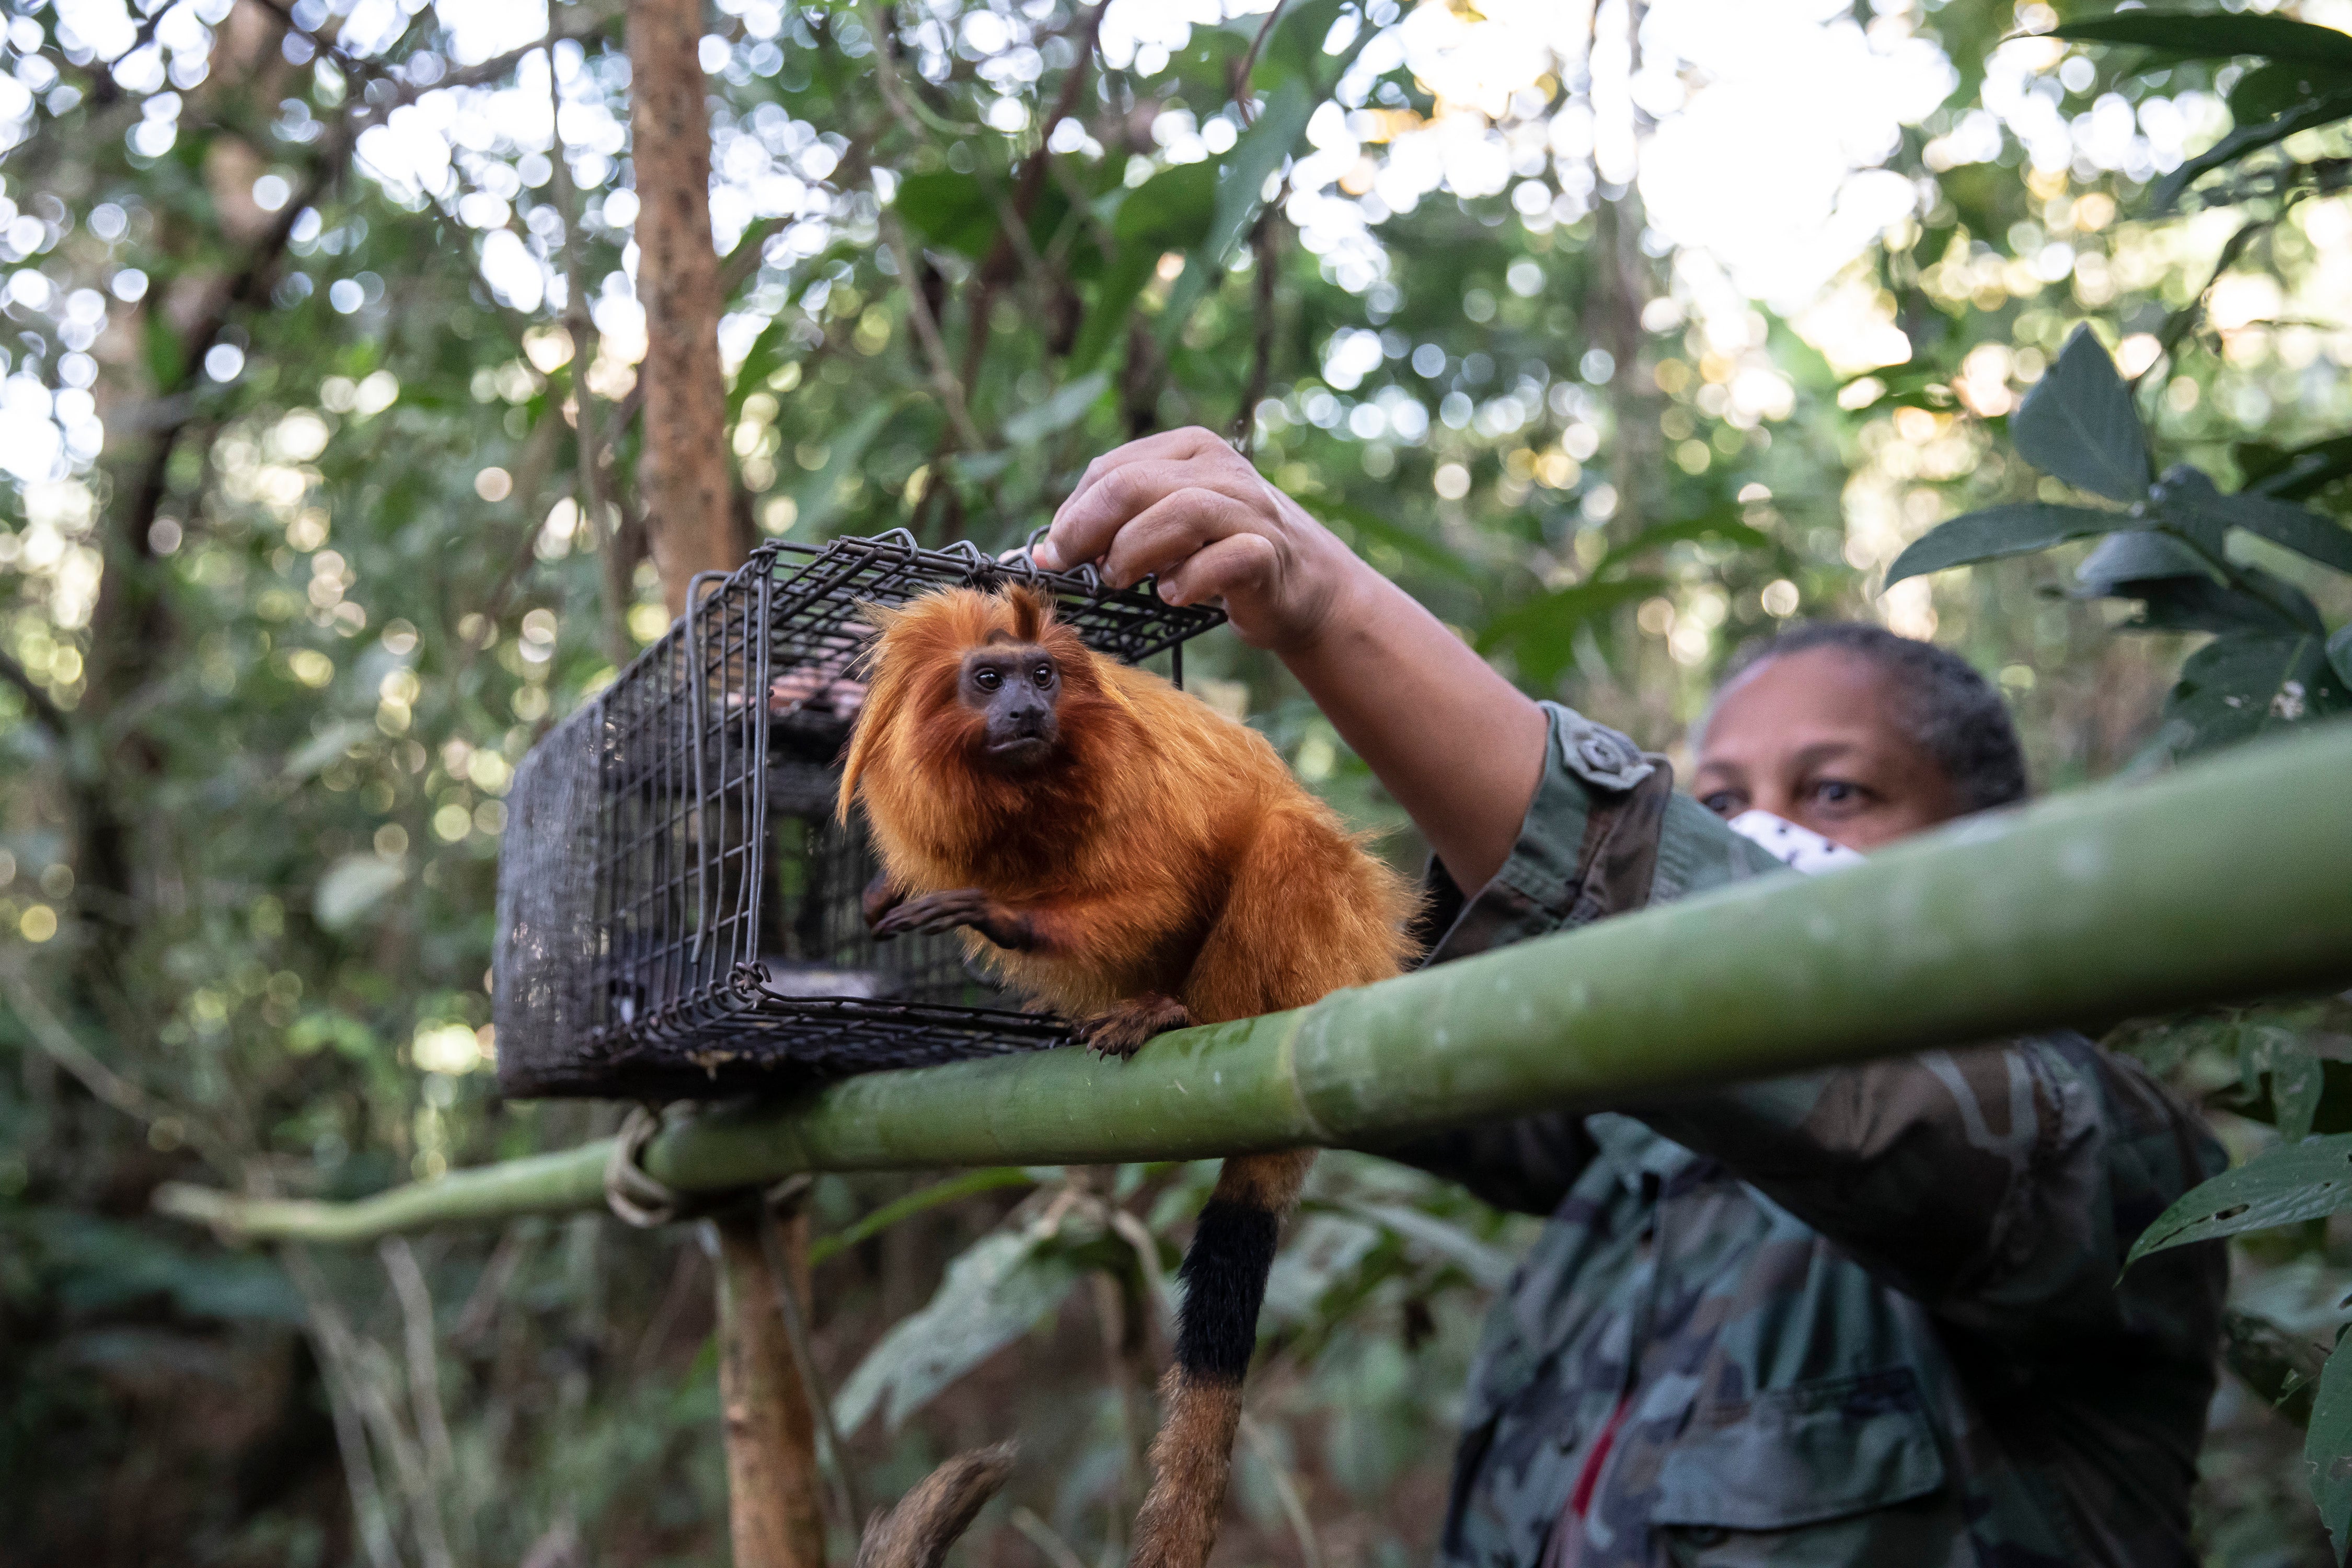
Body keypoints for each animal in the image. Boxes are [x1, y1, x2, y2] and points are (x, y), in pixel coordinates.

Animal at [838, 584, 1416, 1568]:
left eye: (1042, 676)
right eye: (988, 680)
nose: (1026, 710)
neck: (1027, 794)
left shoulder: (1135, 790)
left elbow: (1165, 887)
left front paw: (1009, 916)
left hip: (1321, 957)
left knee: (1283, 837)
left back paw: (1181, 1016)